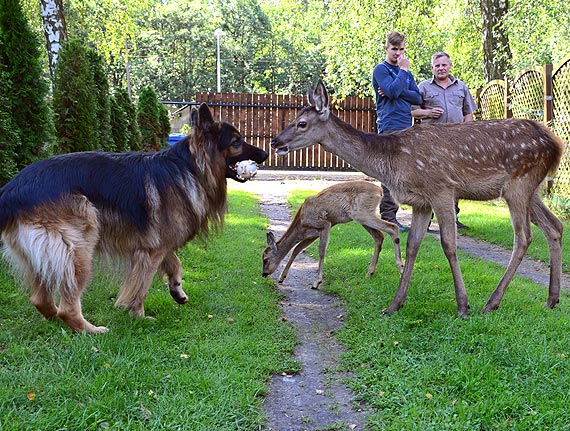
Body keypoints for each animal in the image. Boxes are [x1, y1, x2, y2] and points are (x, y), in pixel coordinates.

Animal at [0, 104, 268, 334]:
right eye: (236, 141)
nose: (265, 153)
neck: (190, 168)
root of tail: (11, 190)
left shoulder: (158, 242)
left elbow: (175, 262)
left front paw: (177, 290)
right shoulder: (151, 250)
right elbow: (143, 284)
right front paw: (137, 314)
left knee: (40, 299)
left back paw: (57, 321)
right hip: (79, 247)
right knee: (67, 306)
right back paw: (90, 330)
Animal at [262, 181, 404, 288]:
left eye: (265, 259)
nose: (264, 274)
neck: (301, 224)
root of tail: (379, 191)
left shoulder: (325, 224)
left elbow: (321, 251)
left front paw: (317, 282)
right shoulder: (312, 234)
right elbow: (296, 249)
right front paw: (282, 277)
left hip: (362, 213)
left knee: (393, 227)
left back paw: (401, 267)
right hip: (362, 217)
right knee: (379, 236)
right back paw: (370, 273)